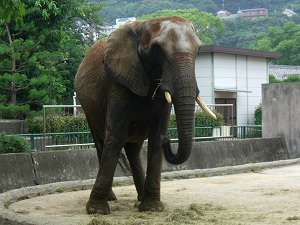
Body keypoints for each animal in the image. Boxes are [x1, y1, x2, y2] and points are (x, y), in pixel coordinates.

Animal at [74, 15, 216, 214]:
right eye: (156, 50)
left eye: (199, 50)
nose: (169, 141)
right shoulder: (118, 81)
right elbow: (116, 135)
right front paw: (97, 211)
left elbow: (156, 137)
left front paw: (152, 208)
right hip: (87, 107)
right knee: (102, 142)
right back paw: (111, 198)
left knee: (133, 150)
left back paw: (141, 197)